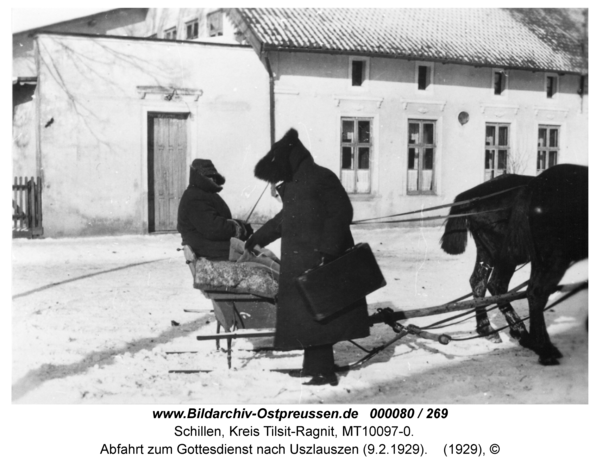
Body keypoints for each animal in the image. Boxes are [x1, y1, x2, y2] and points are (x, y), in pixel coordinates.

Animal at [442, 166, 588, 366]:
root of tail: (473, 195)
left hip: (489, 251)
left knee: (479, 282)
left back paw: (489, 329)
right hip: (520, 255)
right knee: (504, 286)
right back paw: (532, 340)